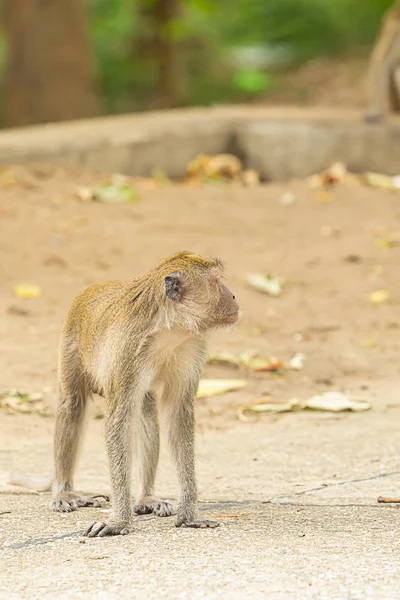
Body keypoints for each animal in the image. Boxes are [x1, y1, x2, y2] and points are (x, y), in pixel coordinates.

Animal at [10, 251, 239, 536]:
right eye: (215, 281)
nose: (234, 296)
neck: (167, 328)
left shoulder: (193, 346)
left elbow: (177, 414)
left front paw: (188, 516)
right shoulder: (127, 349)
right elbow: (119, 419)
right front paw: (118, 521)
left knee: (145, 410)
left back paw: (145, 497)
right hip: (70, 344)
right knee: (72, 406)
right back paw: (64, 492)